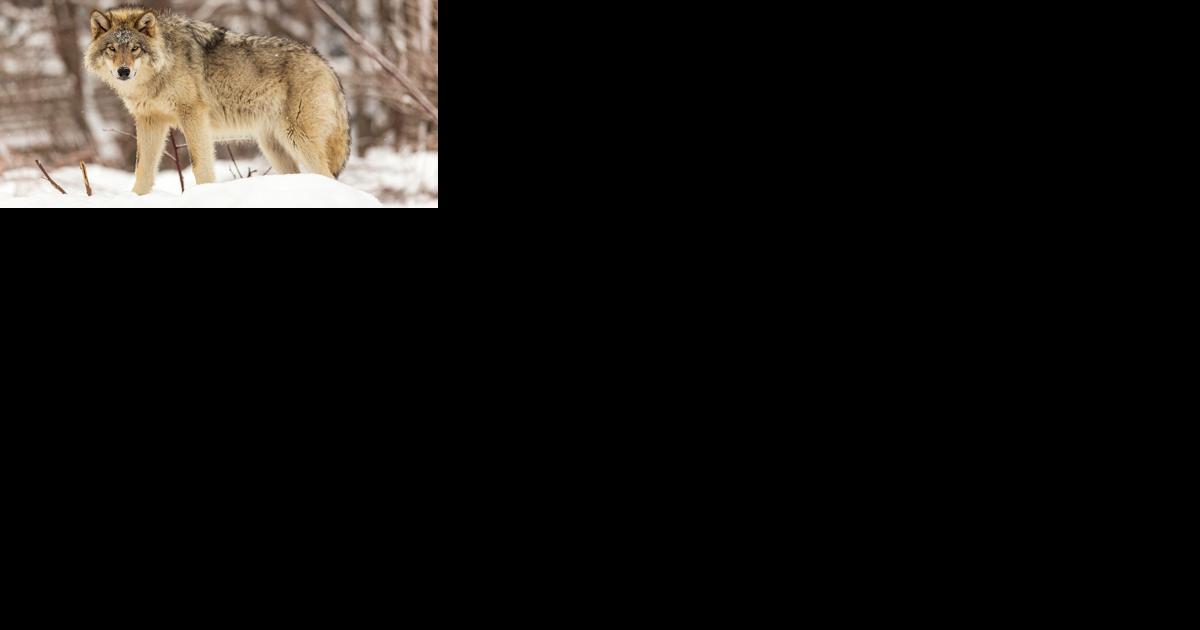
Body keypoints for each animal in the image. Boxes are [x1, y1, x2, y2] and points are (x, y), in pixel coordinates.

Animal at [85, 5, 350, 195]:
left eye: (134, 49)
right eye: (112, 49)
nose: (123, 71)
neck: (160, 71)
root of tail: (326, 64)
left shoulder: (192, 114)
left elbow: (199, 164)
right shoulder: (149, 120)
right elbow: (143, 168)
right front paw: (137, 197)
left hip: (297, 139)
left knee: (328, 176)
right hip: (273, 147)